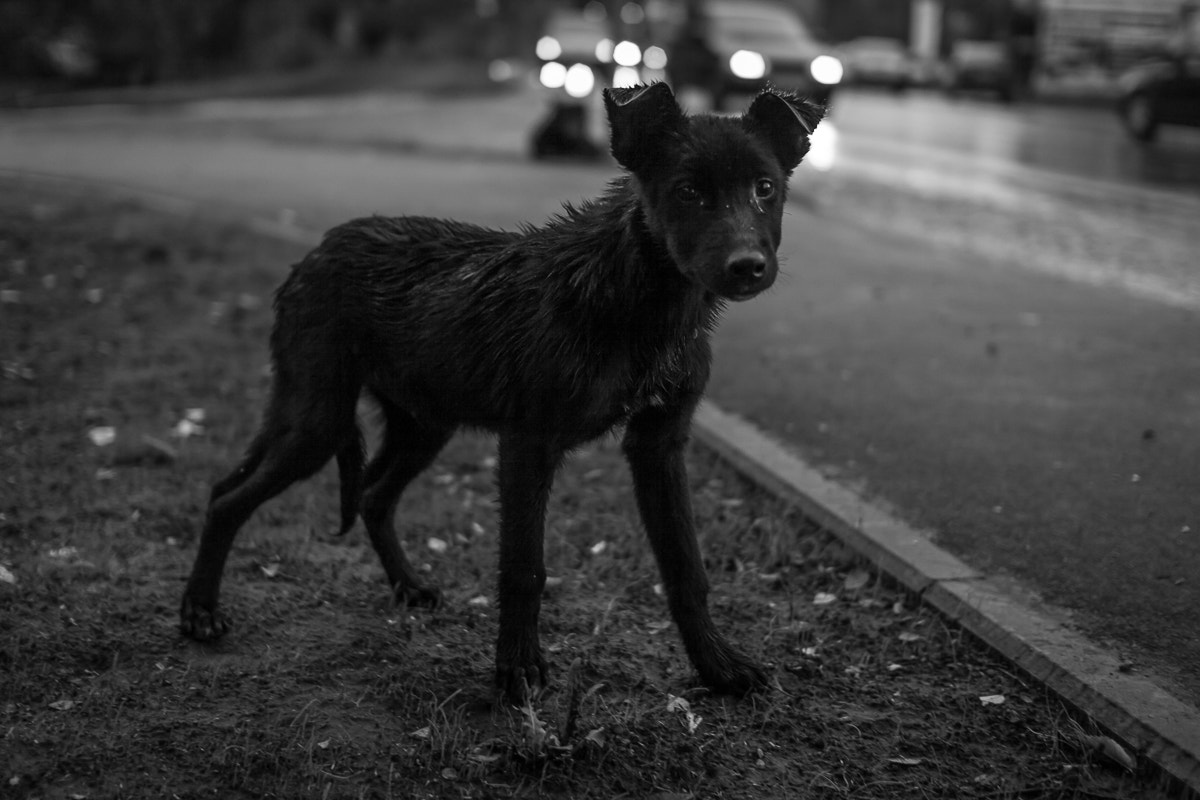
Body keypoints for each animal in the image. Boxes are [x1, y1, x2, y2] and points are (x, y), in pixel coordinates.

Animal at [177, 82, 825, 700]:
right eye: (688, 191)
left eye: (765, 188)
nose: (747, 266)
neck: (639, 300)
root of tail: (314, 251)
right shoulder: (528, 443)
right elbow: (523, 568)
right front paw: (516, 670)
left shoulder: (659, 444)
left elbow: (686, 567)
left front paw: (718, 667)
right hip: (319, 417)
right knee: (229, 499)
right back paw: (200, 613)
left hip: (420, 424)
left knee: (369, 495)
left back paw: (407, 586)